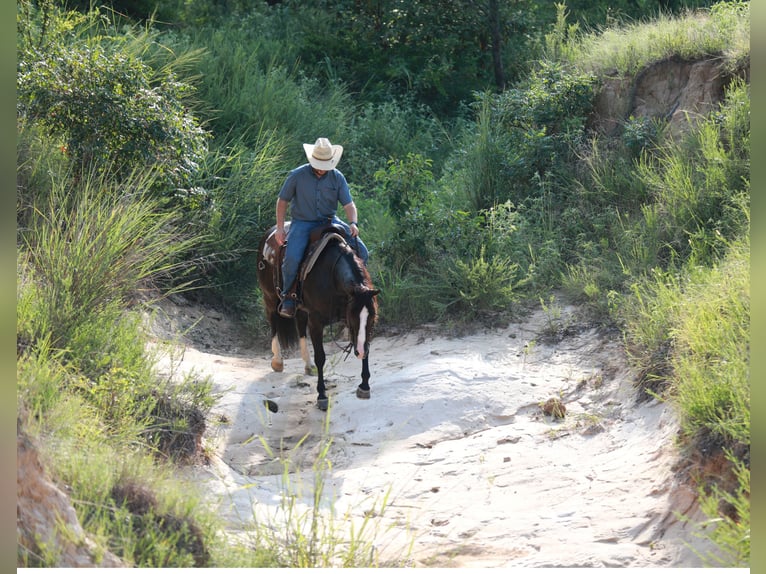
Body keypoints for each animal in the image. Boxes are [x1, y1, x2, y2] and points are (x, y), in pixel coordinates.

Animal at [256, 223, 380, 412]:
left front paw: (364, 386)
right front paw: (322, 396)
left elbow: (366, 344)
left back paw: (308, 366)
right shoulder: (316, 322)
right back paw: (277, 361)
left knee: (300, 326)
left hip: (299, 307)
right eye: (353, 318)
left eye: (372, 318)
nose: (359, 352)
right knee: (273, 324)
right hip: (269, 297)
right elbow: (321, 357)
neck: (332, 276)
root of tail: (268, 234)